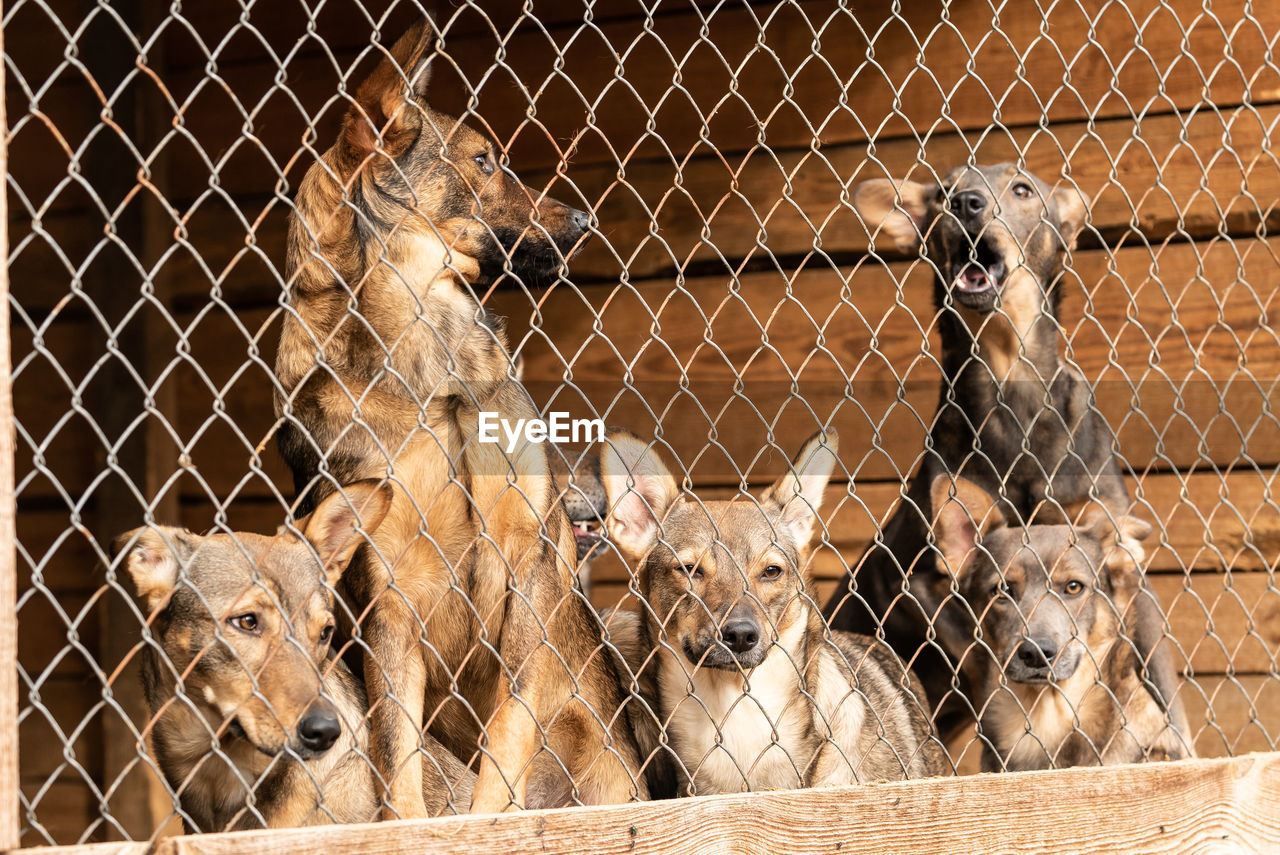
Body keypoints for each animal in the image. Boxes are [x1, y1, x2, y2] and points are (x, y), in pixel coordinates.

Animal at [273, 19, 645, 819]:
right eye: (482, 159)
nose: (587, 219)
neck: (430, 364)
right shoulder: (386, 602)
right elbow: (397, 754)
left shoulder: (529, 556)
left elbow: (511, 716)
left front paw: (493, 814)